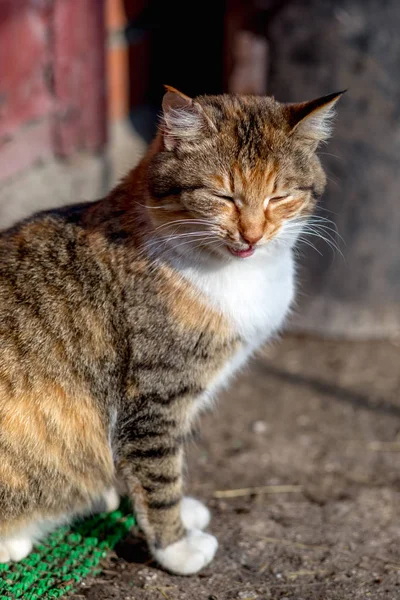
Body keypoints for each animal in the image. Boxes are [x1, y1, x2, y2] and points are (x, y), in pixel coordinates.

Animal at [0, 86, 342, 576]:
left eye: (279, 196)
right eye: (222, 195)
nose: (252, 236)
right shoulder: (153, 400)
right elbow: (158, 477)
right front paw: (177, 546)